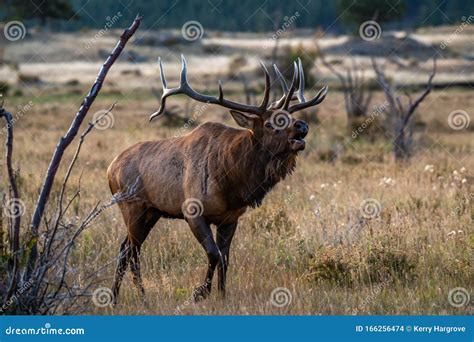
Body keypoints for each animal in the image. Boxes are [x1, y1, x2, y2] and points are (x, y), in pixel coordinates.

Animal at [107, 54, 326, 304]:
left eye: (291, 117)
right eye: (271, 123)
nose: (303, 125)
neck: (231, 183)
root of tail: (110, 168)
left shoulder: (230, 218)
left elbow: (225, 258)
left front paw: (222, 295)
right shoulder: (192, 211)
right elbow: (214, 254)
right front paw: (199, 293)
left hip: (151, 212)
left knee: (125, 248)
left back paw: (116, 297)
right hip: (132, 206)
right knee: (131, 251)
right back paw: (140, 296)